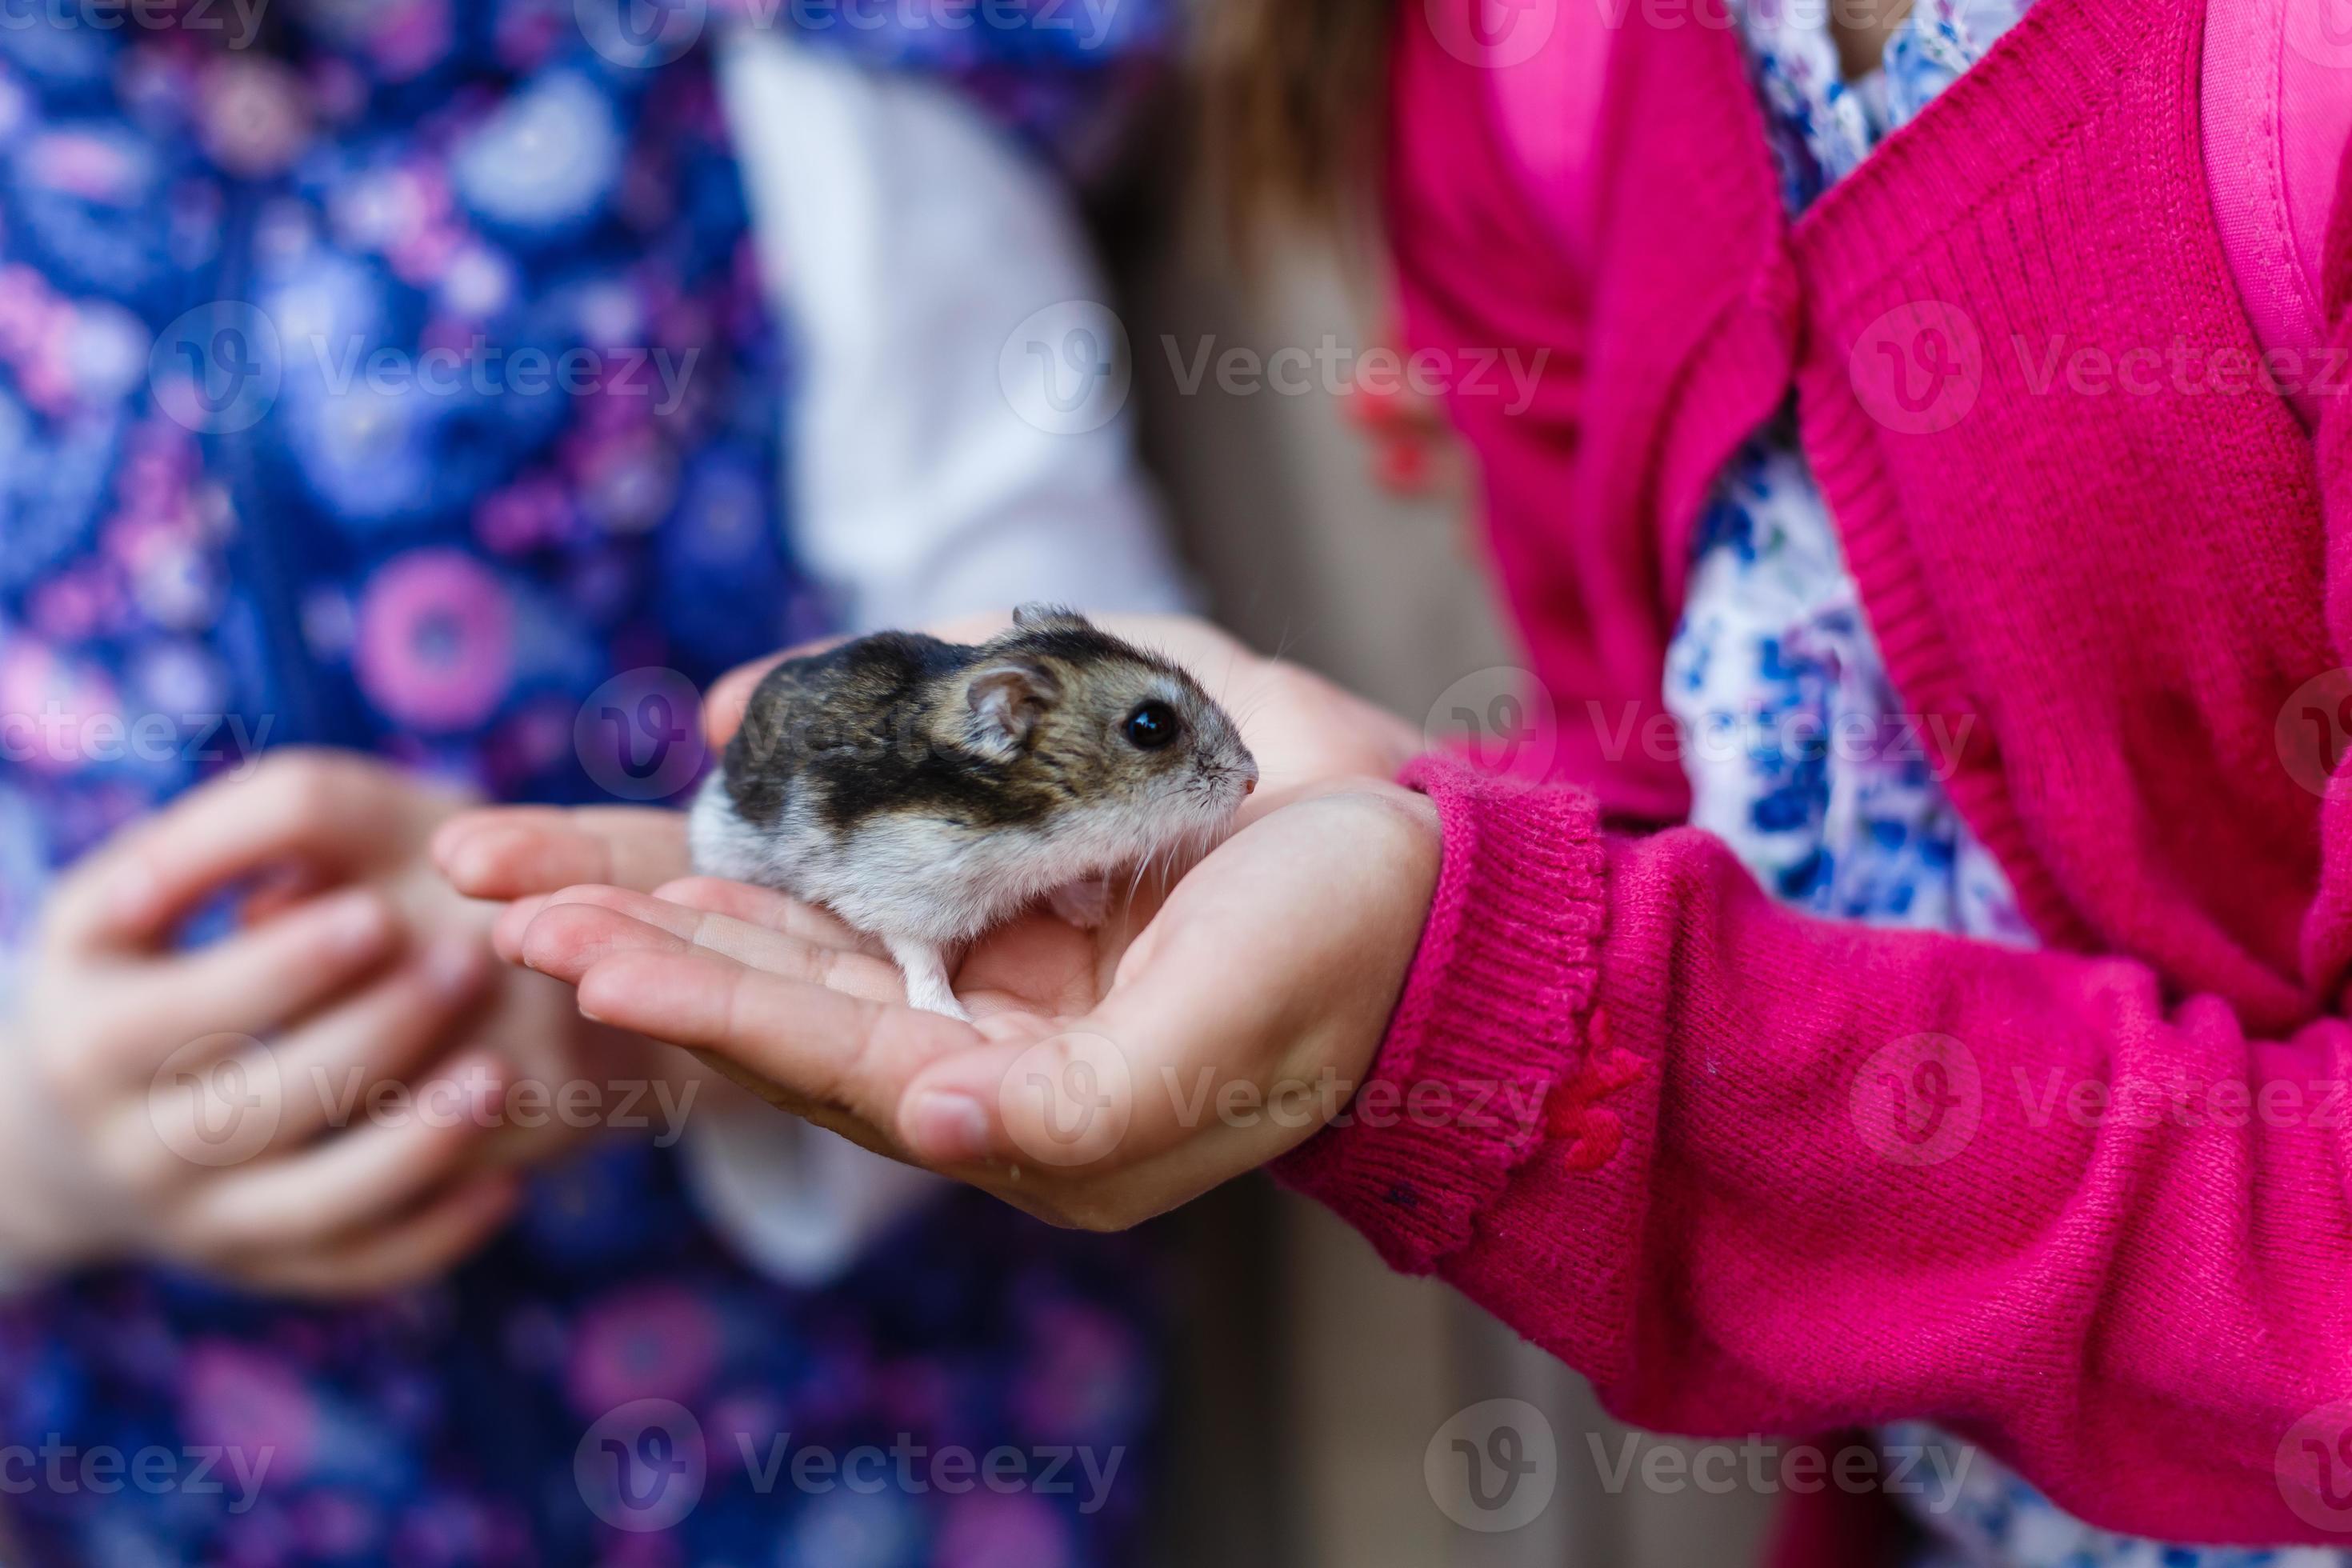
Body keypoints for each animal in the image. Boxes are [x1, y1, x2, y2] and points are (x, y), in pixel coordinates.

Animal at [688, 604, 1260, 1019]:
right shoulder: (896, 892)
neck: (1033, 823)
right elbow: (920, 959)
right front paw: (954, 1017)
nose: (1253, 779)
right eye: (1151, 725)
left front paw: (1092, 910)